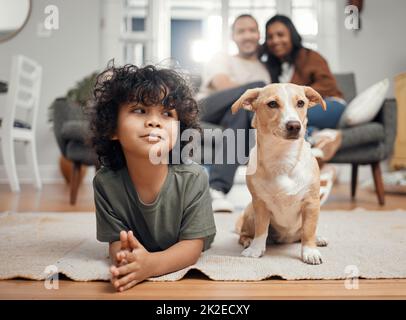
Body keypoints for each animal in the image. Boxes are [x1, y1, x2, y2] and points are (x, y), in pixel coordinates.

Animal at [233, 82, 328, 264]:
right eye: (272, 104)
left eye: (300, 103)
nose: (294, 125)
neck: (282, 158)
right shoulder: (260, 204)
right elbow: (261, 230)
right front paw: (256, 249)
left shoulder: (311, 203)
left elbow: (308, 231)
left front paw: (310, 251)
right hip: (250, 212)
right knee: (243, 233)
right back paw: (248, 241)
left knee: (304, 233)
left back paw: (318, 238)